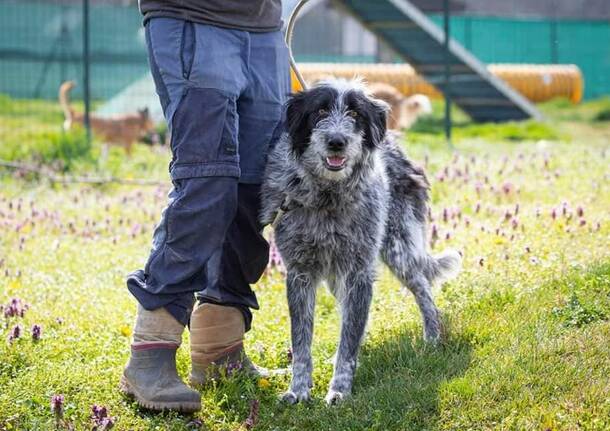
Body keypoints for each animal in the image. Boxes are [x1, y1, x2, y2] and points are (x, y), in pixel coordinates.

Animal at [258, 79, 458, 406]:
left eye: (354, 113)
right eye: (320, 111)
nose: (337, 141)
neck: (327, 195)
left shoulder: (359, 273)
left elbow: (349, 340)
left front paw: (339, 389)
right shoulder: (300, 274)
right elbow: (302, 343)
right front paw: (298, 390)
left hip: (400, 251)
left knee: (424, 291)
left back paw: (432, 337)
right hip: (337, 278)